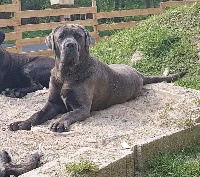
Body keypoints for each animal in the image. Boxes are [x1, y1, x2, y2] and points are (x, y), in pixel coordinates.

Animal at [9, 24, 187, 132]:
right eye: (61, 36)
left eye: (78, 36)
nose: (70, 45)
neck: (67, 74)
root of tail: (139, 73)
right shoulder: (52, 104)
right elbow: (37, 114)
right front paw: (22, 123)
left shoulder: (82, 108)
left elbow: (68, 114)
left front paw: (59, 122)